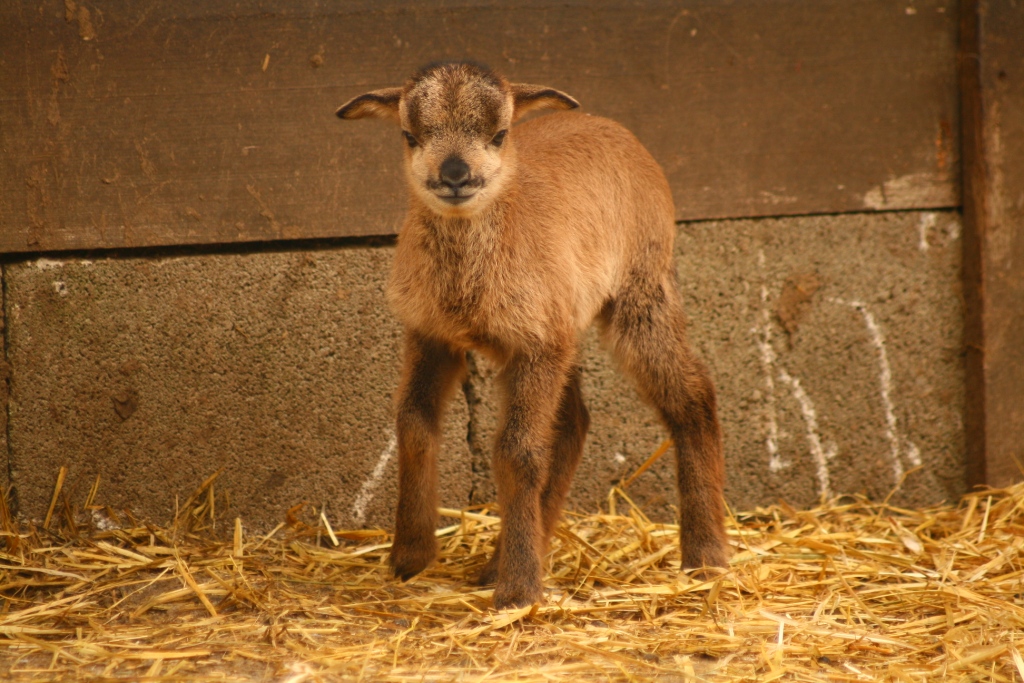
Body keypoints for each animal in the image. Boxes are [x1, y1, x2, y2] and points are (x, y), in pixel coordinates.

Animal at [337, 63, 729, 610]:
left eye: (500, 134)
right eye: (409, 135)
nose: (455, 175)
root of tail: (612, 127)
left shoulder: (536, 345)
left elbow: (517, 451)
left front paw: (518, 591)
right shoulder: (432, 333)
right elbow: (413, 424)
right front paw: (410, 557)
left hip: (640, 290)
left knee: (692, 394)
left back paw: (705, 557)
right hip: (569, 323)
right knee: (573, 424)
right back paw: (505, 558)